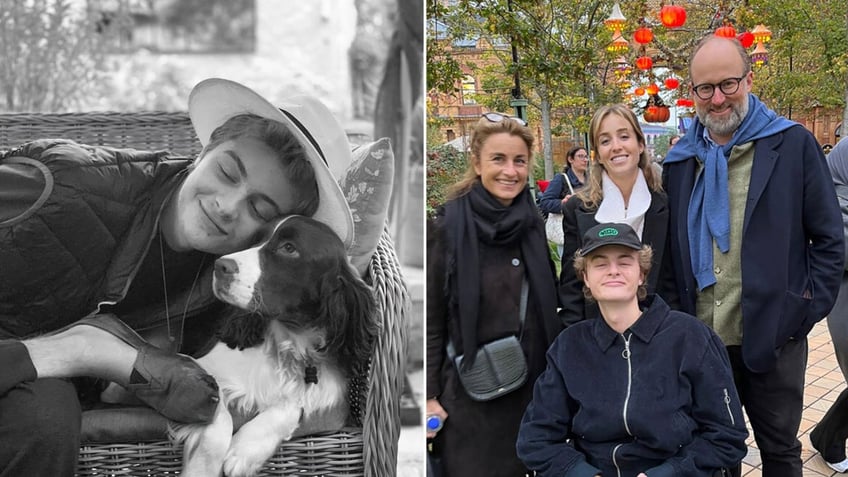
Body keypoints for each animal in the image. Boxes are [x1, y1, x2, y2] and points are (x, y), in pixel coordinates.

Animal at [171, 216, 376, 476]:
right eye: (257, 239)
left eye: (289, 248)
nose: (220, 266)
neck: (288, 345)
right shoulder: (194, 365)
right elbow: (216, 412)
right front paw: (201, 469)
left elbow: (290, 406)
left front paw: (243, 451)